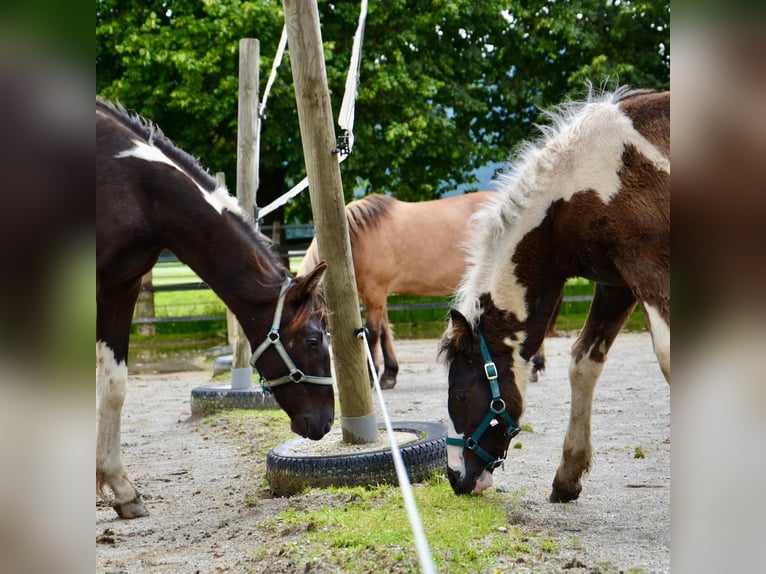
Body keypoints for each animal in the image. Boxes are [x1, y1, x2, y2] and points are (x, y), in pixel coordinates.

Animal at [96, 100, 336, 520]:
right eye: (311, 340)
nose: (326, 422)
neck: (131, 182)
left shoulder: (120, 287)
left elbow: (114, 386)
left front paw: (122, 490)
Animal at [440, 88, 668, 502]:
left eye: (460, 395)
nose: (456, 478)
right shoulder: (616, 284)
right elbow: (583, 362)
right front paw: (568, 475)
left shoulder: (648, 267)